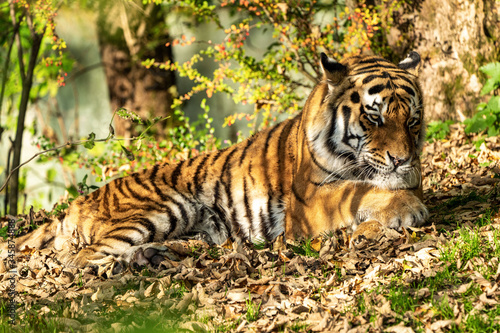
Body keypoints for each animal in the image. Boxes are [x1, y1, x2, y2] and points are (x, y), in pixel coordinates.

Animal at [1, 51, 428, 268]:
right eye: (374, 118)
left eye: (411, 120)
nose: (401, 159)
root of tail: (77, 203)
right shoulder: (308, 201)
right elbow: (356, 192)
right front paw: (405, 209)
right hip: (163, 207)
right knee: (81, 258)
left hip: (198, 225)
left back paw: (151, 257)